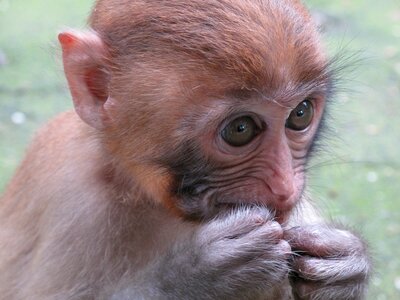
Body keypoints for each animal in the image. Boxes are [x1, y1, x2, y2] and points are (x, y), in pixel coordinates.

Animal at [0, 0, 370, 298]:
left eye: (300, 114)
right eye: (240, 129)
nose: (284, 188)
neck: (137, 190)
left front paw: (348, 265)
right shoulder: (76, 204)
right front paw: (194, 277)